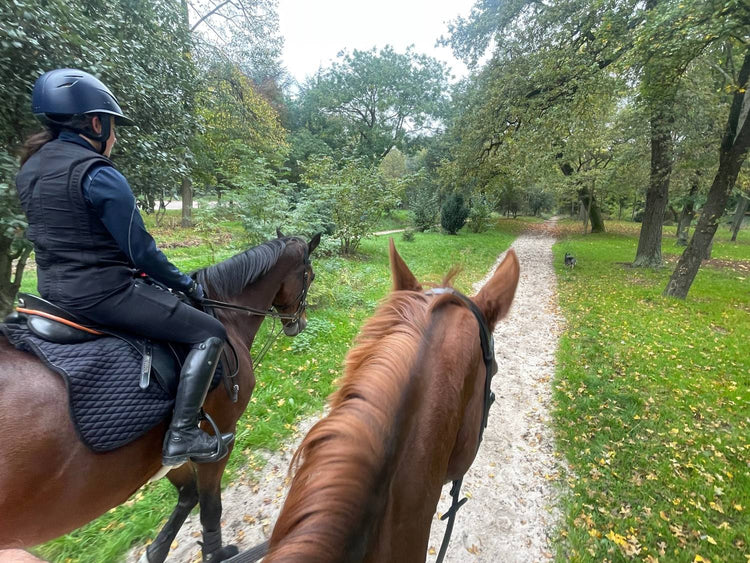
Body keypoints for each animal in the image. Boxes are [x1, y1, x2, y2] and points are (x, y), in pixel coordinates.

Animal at [0, 232, 321, 562]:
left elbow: (189, 493)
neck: (225, 314)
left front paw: (155, 551)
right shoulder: (220, 438)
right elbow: (210, 506)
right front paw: (215, 554)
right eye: (309, 275)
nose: (300, 323)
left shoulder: (166, 449)